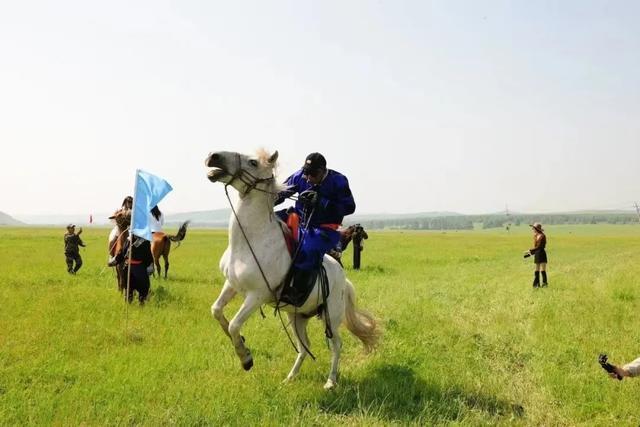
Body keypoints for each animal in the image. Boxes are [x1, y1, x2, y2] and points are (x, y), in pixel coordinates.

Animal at [205, 150, 380, 392]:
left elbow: (233, 325)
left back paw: (331, 381)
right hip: (297, 317)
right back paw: (290, 377)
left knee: (336, 344)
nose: (213, 157)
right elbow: (216, 311)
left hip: (332, 316)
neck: (251, 242)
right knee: (304, 346)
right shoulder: (231, 284)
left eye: (253, 162)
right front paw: (244, 344)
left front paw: (246, 358)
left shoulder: (257, 296)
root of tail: (344, 280)